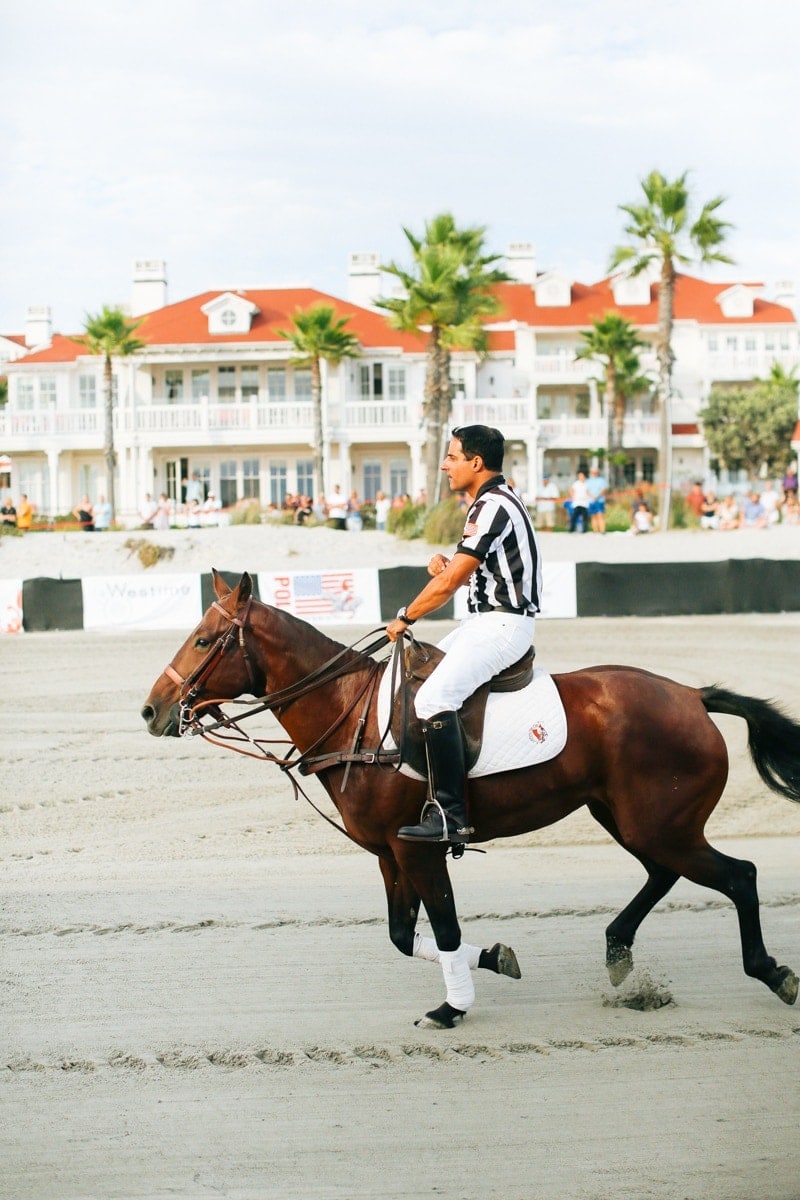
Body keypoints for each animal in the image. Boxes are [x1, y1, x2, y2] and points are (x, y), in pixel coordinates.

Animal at [142, 576, 800, 1027]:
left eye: (204, 640)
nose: (152, 711)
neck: (353, 715)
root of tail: (692, 695)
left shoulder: (418, 848)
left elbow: (445, 925)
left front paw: (452, 1007)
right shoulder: (388, 853)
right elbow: (404, 935)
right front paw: (495, 957)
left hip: (661, 824)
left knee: (738, 875)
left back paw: (772, 973)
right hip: (629, 819)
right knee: (665, 873)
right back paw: (618, 950)